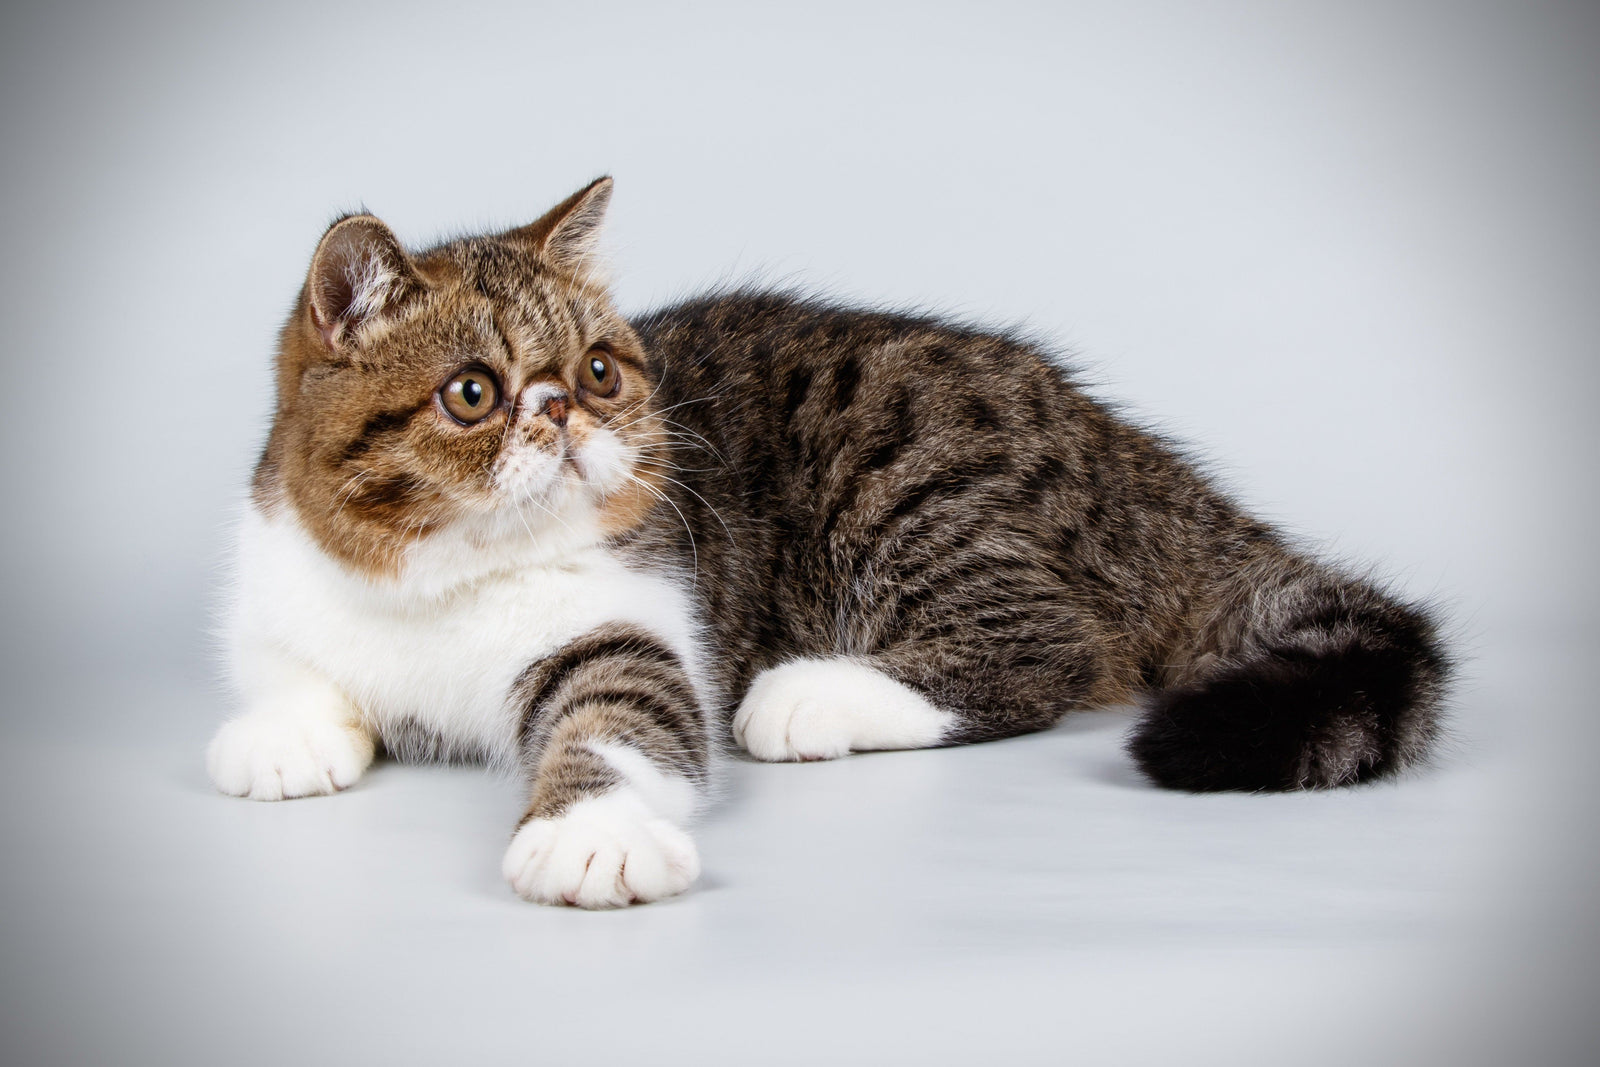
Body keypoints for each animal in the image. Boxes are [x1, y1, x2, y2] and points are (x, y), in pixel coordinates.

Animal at [209, 177, 1452, 908]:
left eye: (600, 371)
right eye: (473, 392)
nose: (564, 413)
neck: (442, 580)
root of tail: (1123, 453)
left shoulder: (630, 624)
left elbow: (618, 720)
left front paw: (590, 832)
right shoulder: (278, 577)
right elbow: (284, 666)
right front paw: (284, 732)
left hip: (917, 493)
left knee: (1039, 646)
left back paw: (816, 693)